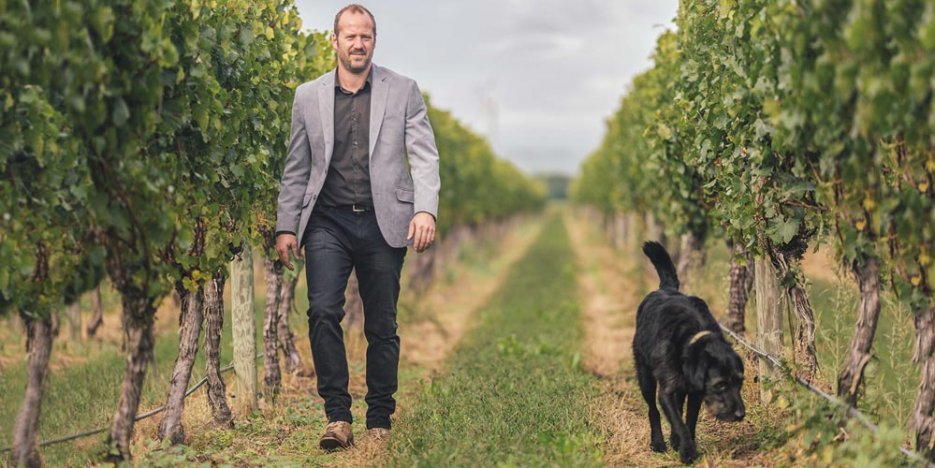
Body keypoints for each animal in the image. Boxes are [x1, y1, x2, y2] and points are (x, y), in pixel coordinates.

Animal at [632, 241, 748, 464]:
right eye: (720, 385)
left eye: (739, 382)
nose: (740, 415)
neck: (692, 338)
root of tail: (666, 288)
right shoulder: (667, 391)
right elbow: (678, 421)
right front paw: (688, 452)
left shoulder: (696, 392)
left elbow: (689, 420)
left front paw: (685, 444)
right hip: (645, 377)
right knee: (653, 410)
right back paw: (658, 442)